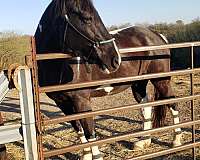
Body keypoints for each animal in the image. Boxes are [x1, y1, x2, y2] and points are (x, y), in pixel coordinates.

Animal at [34, 0, 181, 159]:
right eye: (87, 18)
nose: (115, 59)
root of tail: (156, 34)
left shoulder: (82, 101)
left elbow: (90, 133)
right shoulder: (63, 104)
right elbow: (79, 130)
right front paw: (86, 155)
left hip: (161, 80)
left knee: (172, 104)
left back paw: (176, 141)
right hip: (138, 83)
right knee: (146, 107)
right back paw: (144, 141)